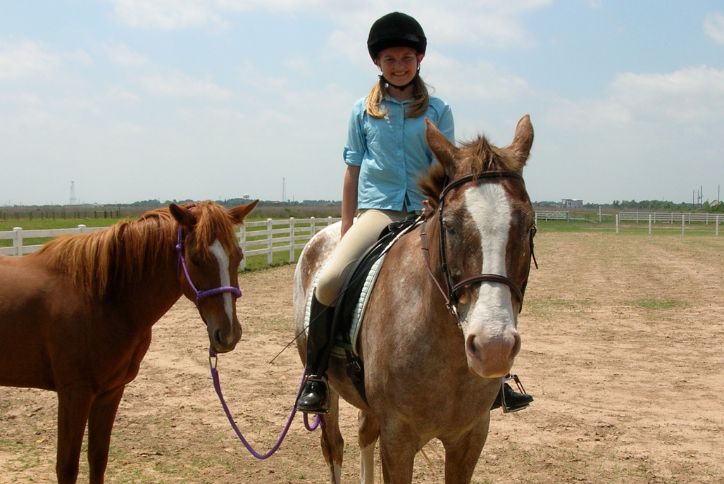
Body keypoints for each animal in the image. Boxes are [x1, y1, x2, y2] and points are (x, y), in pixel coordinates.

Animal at [0, 199, 258, 480]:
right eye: (196, 258)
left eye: (238, 256)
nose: (229, 334)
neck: (100, 297)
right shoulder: (74, 393)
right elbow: (67, 467)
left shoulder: (110, 392)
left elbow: (98, 458)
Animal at [294, 115, 536, 482]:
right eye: (449, 225)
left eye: (530, 226)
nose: (493, 347)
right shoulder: (398, 438)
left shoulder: (471, 436)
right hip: (328, 391)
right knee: (333, 445)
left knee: (365, 433)